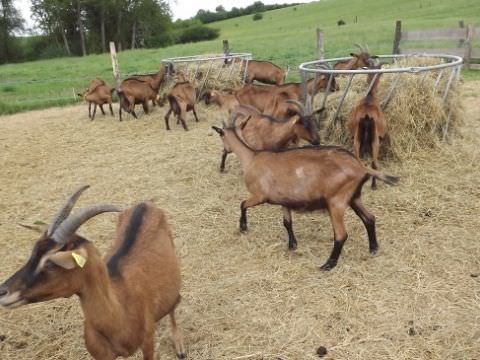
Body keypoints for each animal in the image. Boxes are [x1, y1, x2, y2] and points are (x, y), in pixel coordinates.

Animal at [0, 187, 186, 358]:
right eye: (33, 253)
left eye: (51, 264)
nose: (3, 291)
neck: (119, 313)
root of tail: (143, 204)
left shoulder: (148, 342)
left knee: (174, 302)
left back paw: (180, 347)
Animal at [212, 121, 400, 270]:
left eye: (221, 136)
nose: (224, 151)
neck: (252, 158)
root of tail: (361, 167)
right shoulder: (284, 200)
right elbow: (287, 223)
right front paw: (292, 245)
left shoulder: (259, 196)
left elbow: (242, 204)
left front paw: (243, 227)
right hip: (354, 197)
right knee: (369, 218)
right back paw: (373, 248)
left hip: (336, 201)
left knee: (341, 234)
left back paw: (328, 264)